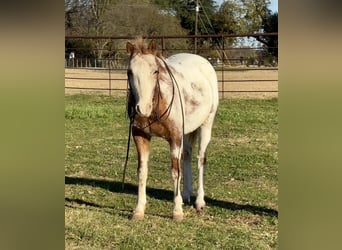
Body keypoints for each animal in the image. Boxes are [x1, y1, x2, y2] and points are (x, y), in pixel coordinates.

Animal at [125, 37, 219, 221]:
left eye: (155, 71)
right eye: (129, 72)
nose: (142, 109)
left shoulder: (175, 137)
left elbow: (175, 171)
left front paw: (177, 212)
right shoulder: (140, 136)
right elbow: (142, 171)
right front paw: (139, 210)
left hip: (206, 125)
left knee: (200, 159)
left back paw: (199, 201)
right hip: (187, 131)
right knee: (187, 156)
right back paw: (186, 195)